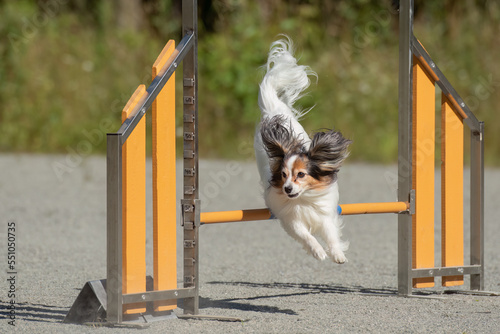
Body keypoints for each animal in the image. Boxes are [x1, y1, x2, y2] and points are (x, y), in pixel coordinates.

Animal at [254, 36, 352, 264]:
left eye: (301, 175)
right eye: (283, 175)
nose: (287, 189)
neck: (304, 198)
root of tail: (273, 110)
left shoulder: (324, 214)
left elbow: (331, 234)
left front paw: (337, 254)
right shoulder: (292, 220)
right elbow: (306, 235)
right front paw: (318, 251)